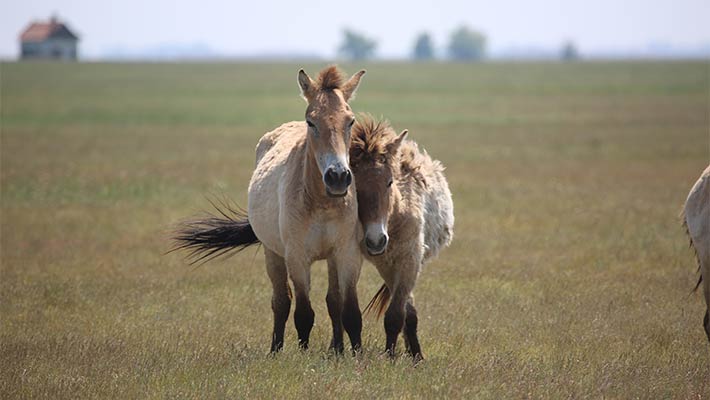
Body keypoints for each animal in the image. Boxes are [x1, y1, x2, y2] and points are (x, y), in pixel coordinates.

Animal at [172, 66, 368, 354]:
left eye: (350, 121)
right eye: (311, 122)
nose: (338, 177)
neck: (322, 203)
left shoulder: (347, 254)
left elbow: (350, 311)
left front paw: (354, 356)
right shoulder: (297, 257)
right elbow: (303, 313)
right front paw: (303, 354)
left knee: (333, 301)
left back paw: (337, 350)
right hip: (272, 253)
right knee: (281, 301)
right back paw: (276, 349)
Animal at [350, 116, 456, 362]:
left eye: (390, 182)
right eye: (355, 187)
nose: (376, 240)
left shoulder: (409, 260)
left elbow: (395, 316)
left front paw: (391, 356)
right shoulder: (387, 264)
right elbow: (401, 313)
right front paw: (393, 353)